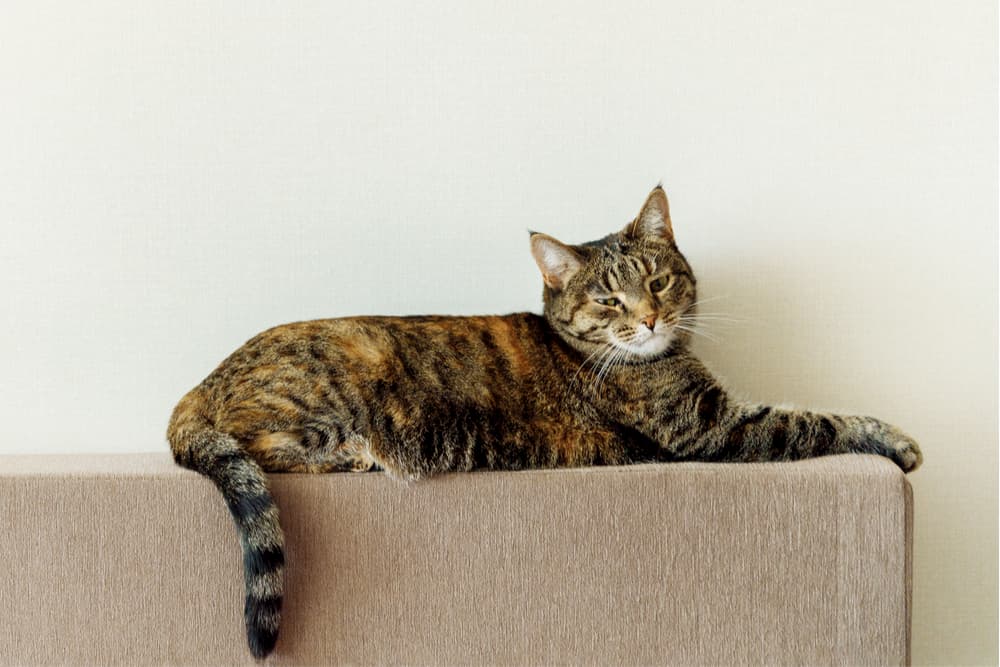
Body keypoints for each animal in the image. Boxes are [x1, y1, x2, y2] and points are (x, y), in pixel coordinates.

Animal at [164, 185, 920, 660]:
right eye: (611, 299)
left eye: (659, 281)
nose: (651, 317)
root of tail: (195, 388)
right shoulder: (712, 426)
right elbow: (816, 418)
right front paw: (897, 437)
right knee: (258, 443)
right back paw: (354, 453)